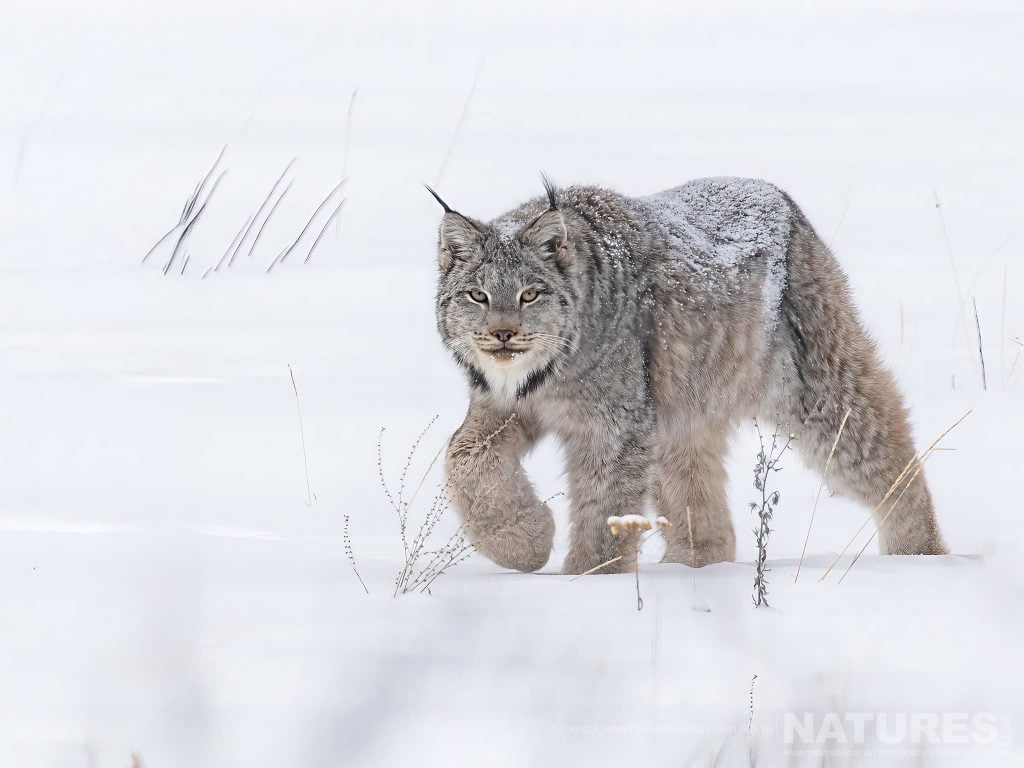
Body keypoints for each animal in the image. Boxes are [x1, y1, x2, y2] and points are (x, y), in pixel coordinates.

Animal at [431, 177, 947, 574]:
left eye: (530, 294)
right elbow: (462, 458)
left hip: (817, 388)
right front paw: (523, 544)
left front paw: (589, 578)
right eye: (477, 295)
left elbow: (604, 505)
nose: (502, 335)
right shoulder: (501, 405)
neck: (544, 374)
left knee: (885, 456)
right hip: (681, 411)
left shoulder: (615, 425)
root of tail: (778, 194)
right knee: (704, 506)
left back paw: (919, 560)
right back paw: (692, 569)